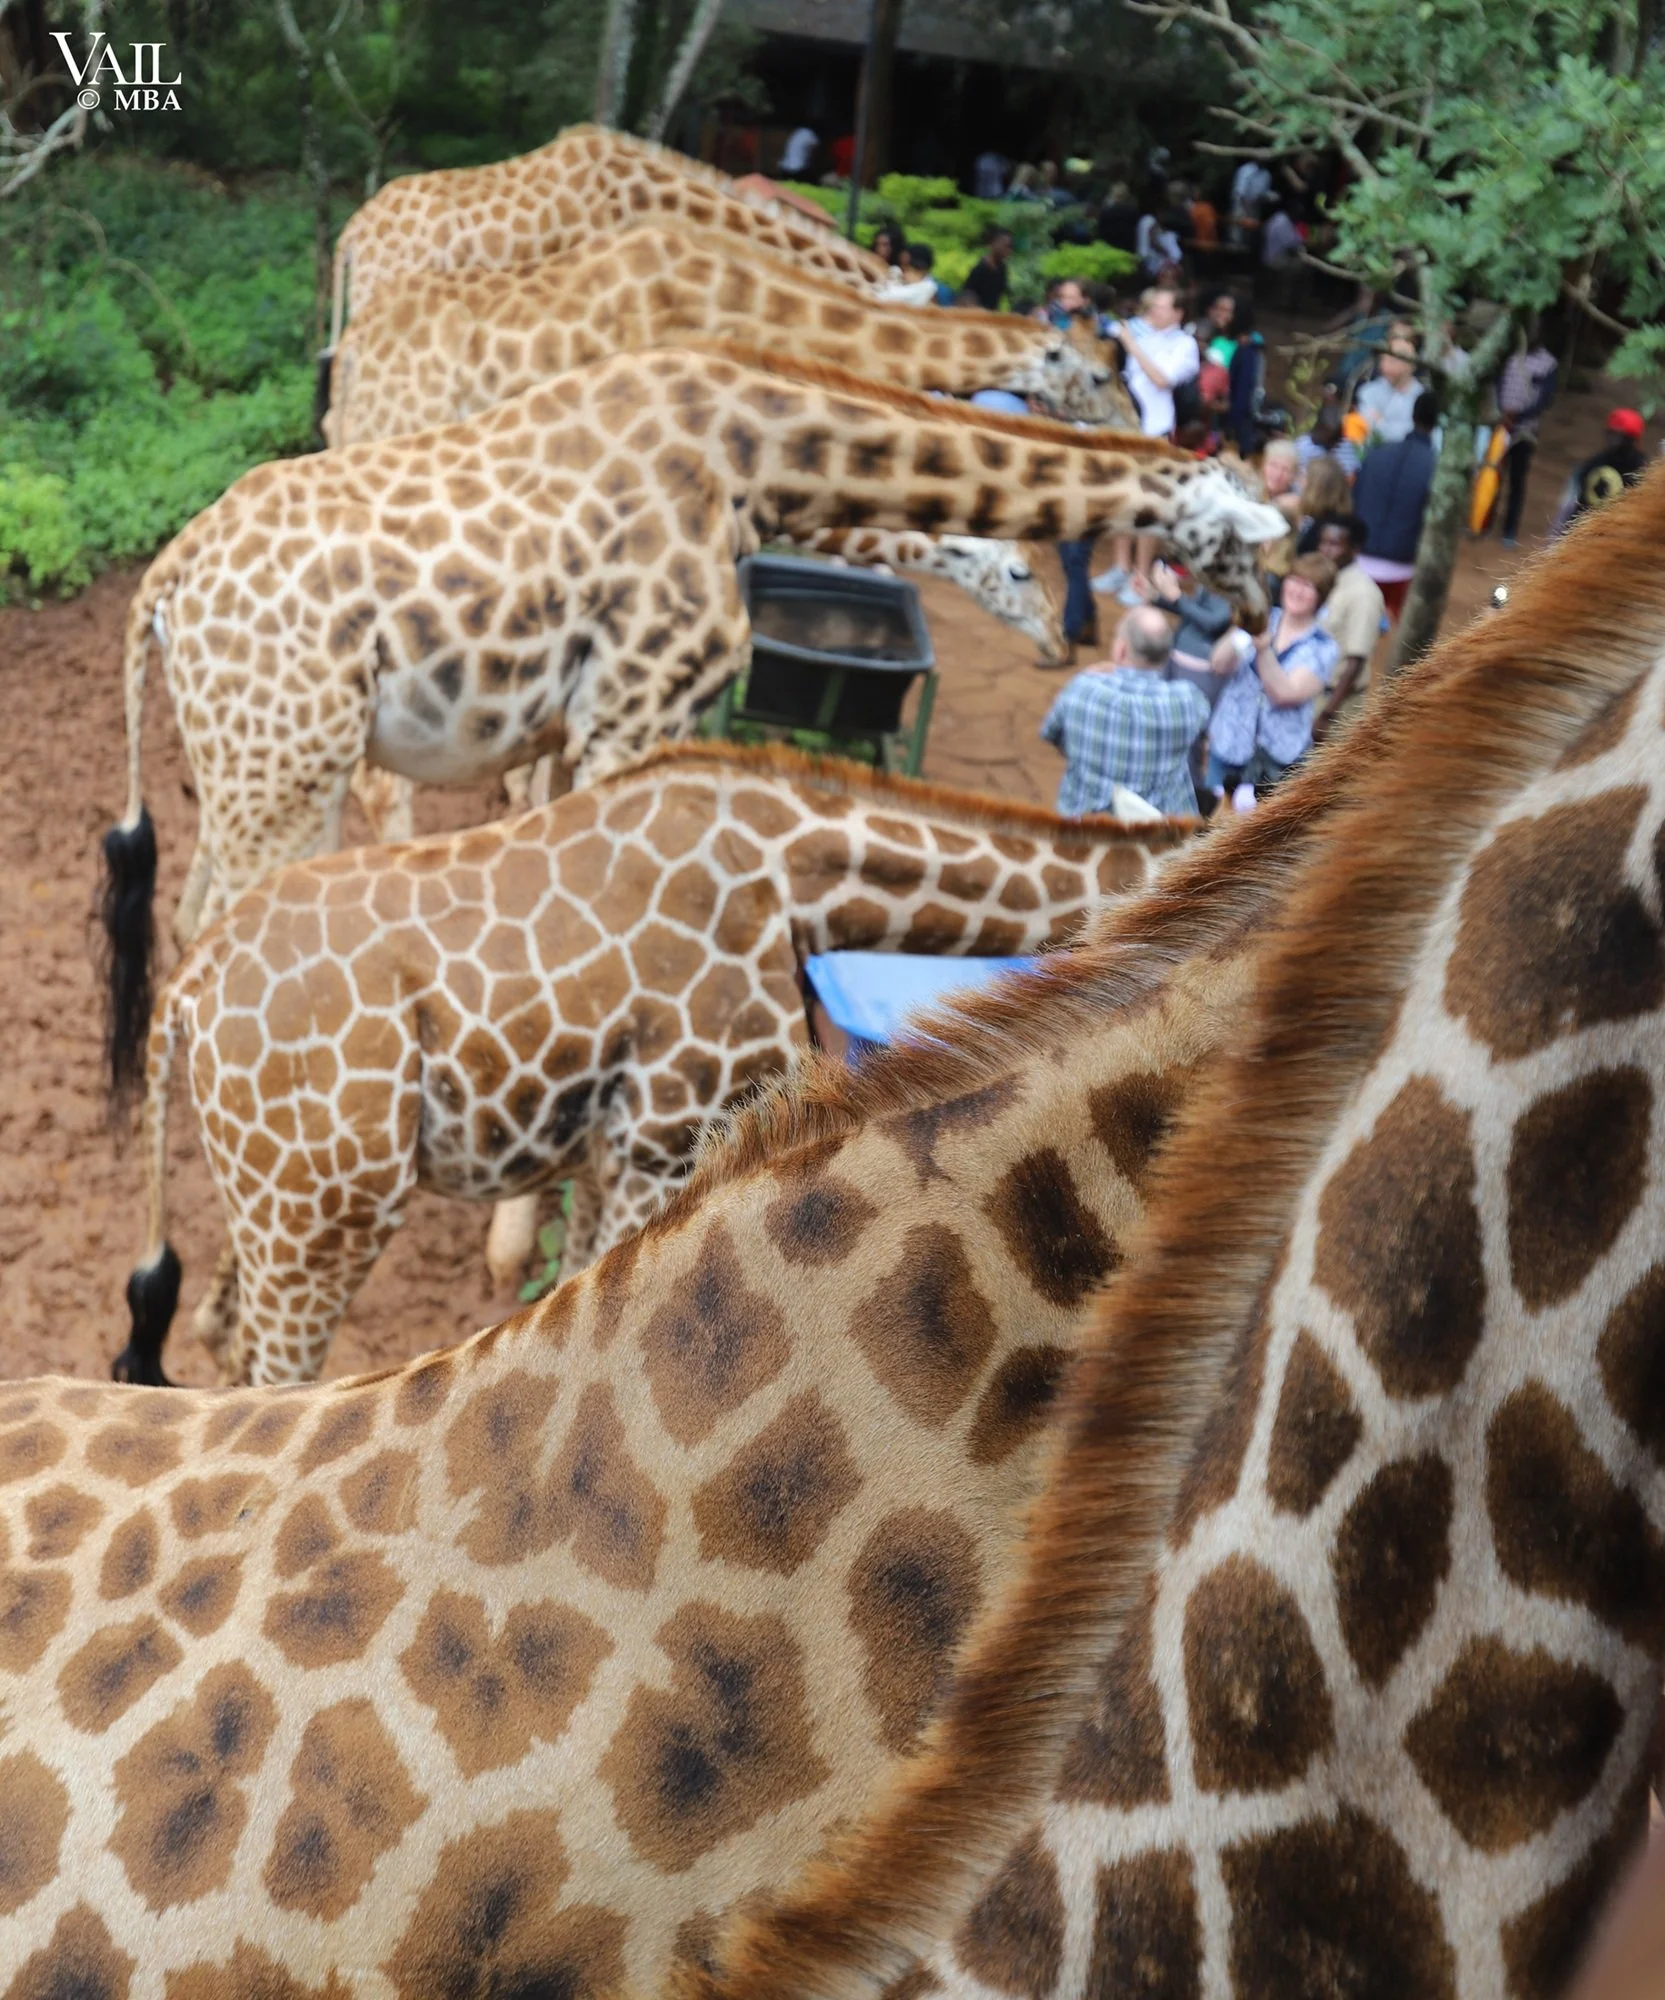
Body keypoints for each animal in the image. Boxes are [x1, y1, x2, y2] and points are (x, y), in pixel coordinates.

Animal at [99, 345, 1287, 1111]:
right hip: (287, 760)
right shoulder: (635, 702)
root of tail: (164, 582)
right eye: (1242, 538)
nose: (1267, 611)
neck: (755, 464)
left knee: (189, 913)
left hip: (264, 757)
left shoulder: (564, 727)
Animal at [115, 743, 1192, 1390]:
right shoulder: (665, 1138)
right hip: (325, 1218)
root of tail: (188, 994)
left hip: (276, 1202)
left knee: (223, 1339)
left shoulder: (607, 1150)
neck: (802, 880)